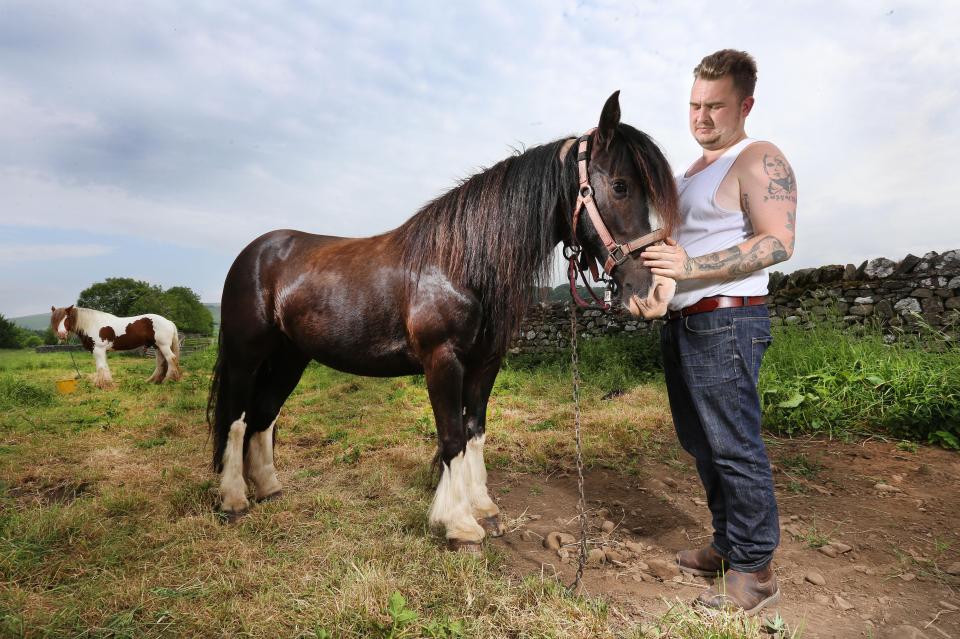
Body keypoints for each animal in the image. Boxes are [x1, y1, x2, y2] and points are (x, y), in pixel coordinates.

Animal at [50, 306, 182, 390]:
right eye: (55, 319)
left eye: (67, 317)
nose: (61, 334)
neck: (92, 324)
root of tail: (169, 322)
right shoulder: (100, 351)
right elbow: (103, 367)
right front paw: (104, 383)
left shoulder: (98, 350)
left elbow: (101, 367)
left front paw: (103, 385)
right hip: (157, 346)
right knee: (161, 362)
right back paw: (154, 381)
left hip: (163, 346)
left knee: (171, 359)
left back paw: (169, 380)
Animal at [206, 94, 680, 552]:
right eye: (620, 186)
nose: (654, 292)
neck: (461, 263)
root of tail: (254, 253)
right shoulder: (442, 360)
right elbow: (451, 437)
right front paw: (458, 525)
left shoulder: (486, 363)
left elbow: (474, 432)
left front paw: (483, 509)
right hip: (246, 355)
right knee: (236, 418)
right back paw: (233, 500)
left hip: (291, 357)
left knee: (264, 415)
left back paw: (269, 489)